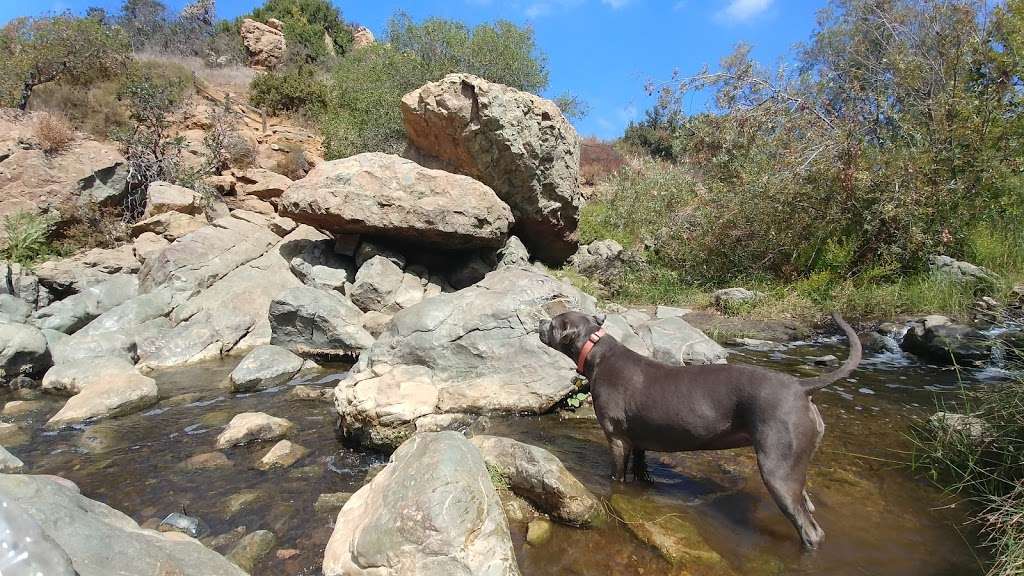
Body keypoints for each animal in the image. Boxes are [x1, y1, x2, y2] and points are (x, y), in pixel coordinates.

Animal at [540, 309, 860, 545]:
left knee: (810, 530)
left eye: (553, 322)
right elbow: (642, 469)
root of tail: (801, 387)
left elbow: (617, 476)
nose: (540, 322)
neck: (597, 352)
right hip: (793, 467)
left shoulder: (618, 440)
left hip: (777, 468)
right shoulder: (640, 440)